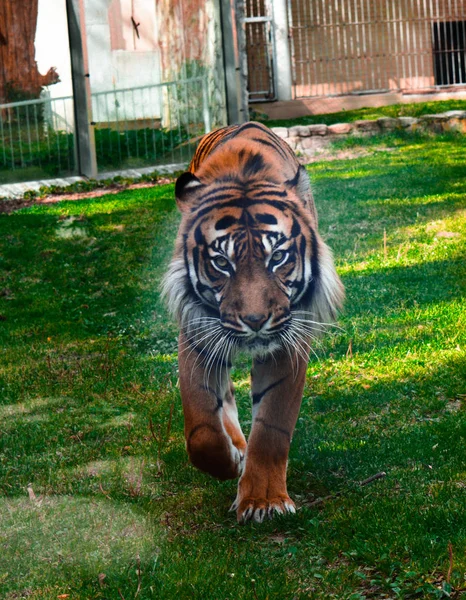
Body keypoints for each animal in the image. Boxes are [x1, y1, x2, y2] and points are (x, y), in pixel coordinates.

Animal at [162, 123, 344, 524]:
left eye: (278, 257)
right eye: (221, 262)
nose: (255, 320)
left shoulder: (289, 340)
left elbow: (273, 427)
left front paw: (263, 501)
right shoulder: (198, 333)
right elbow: (201, 426)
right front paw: (231, 461)